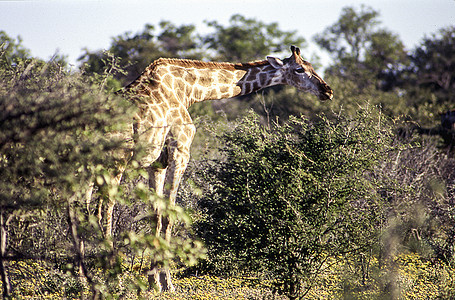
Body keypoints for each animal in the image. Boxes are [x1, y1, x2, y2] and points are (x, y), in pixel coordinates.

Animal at [113, 45, 334, 292]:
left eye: (312, 66)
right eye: (299, 69)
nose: (327, 91)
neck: (188, 90)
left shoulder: (158, 162)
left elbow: (157, 215)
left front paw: (154, 282)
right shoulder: (180, 150)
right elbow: (170, 215)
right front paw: (167, 283)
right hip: (117, 160)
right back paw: (110, 280)